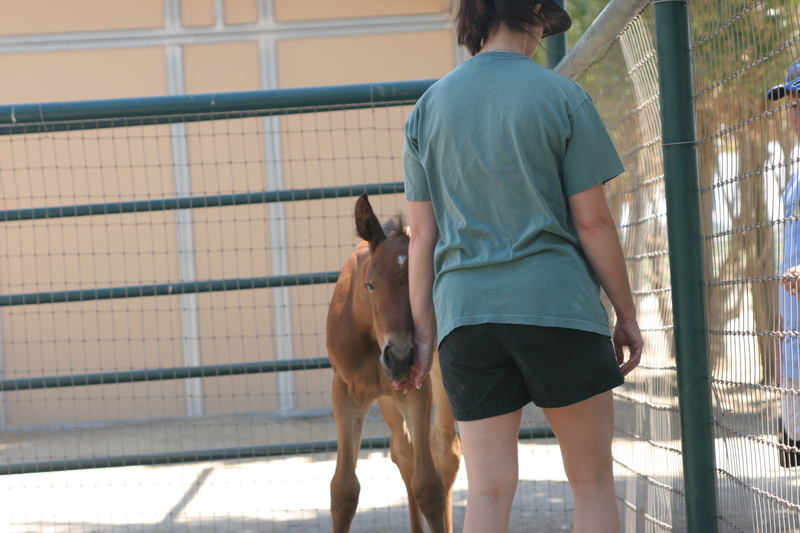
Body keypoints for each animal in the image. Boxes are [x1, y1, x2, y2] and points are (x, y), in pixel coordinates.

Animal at [326, 194, 462, 533]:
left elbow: (429, 486)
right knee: (404, 451)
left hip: (441, 382)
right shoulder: (346, 392)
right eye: (370, 284)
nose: (399, 357)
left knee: (445, 452)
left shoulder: (417, 389)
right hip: (386, 398)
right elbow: (343, 490)